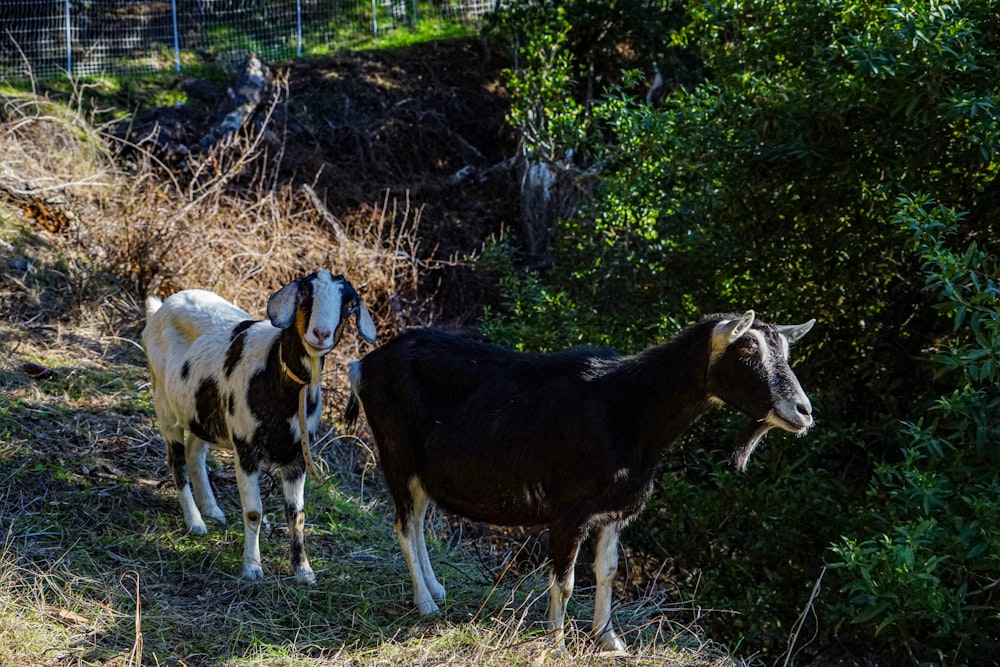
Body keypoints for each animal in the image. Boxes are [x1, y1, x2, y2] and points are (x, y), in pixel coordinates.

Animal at [147, 272, 378, 584]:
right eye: (304, 295)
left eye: (350, 304)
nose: (321, 334)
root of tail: (161, 307)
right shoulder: (246, 449)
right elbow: (254, 511)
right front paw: (252, 567)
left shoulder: (297, 457)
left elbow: (296, 515)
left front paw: (304, 571)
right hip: (165, 403)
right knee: (177, 461)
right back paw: (195, 522)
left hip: (202, 412)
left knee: (196, 451)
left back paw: (212, 510)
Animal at [344, 312, 812, 652]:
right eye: (747, 349)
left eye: (786, 351)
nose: (804, 410)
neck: (629, 411)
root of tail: (362, 365)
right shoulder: (568, 513)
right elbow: (565, 582)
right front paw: (557, 645)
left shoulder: (615, 512)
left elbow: (608, 572)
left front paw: (610, 640)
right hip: (396, 453)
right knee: (404, 524)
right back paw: (424, 603)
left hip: (422, 470)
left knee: (419, 519)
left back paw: (436, 589)